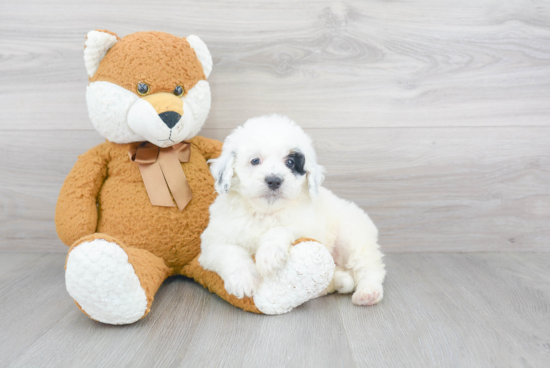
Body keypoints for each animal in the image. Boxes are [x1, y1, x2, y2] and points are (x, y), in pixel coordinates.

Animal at [199, 115, 388, 304]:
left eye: (290, 162)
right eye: (255, 161)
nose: (274, 180)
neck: (265, 212)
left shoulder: (309, 226)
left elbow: (281, 228)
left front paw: (268, 254)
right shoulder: (211, 242)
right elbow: (229, 252)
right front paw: (243, 280)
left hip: (353, 237)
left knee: (370, 267)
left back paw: (368, 292)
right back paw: (342, 281)